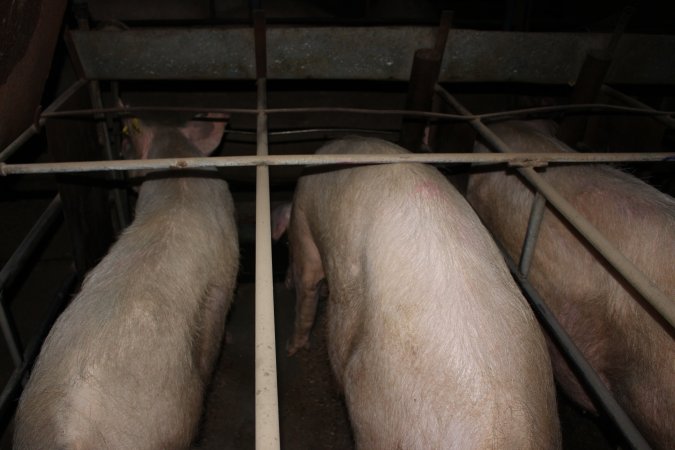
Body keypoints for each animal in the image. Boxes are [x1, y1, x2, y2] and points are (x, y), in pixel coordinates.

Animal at [272, 137, 564, 450]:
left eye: (286, 244)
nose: (284, 281)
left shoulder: (303, 221)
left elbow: (307, 288)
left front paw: (291, 348)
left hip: (376, 413)